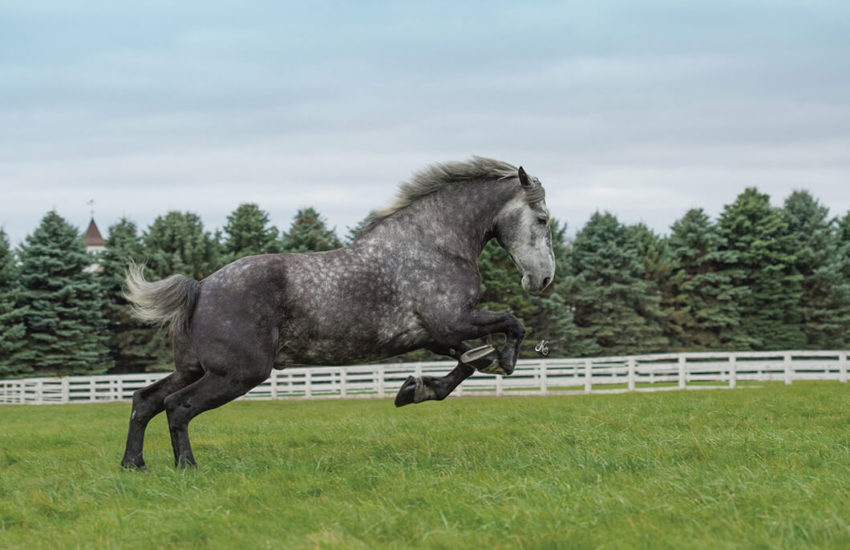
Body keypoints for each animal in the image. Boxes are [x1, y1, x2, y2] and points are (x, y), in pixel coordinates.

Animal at [121, 158, 556, 470]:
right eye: (543, 219)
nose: (543, 279)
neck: (433, 245)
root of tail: (201, 288)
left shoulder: (436, 335)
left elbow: (466, 363)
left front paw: (415, 389)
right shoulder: (452, 321)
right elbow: (511, 327)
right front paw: (502, 362)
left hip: (195, 368)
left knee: (145, 399)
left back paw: (134, 465)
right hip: (237, 373)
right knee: (178, 405)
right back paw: (186, 467)